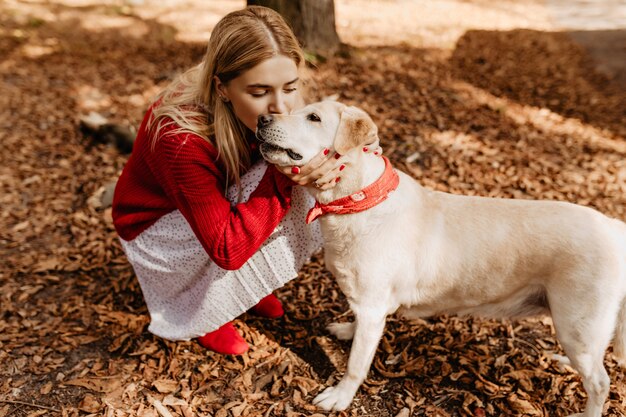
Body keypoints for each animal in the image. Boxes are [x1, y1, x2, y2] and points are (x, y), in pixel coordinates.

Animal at [255, 101, 624, 416]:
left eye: (313, 118)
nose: (261, 119)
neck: (359, 200)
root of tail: (613, 227)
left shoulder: (373, 308)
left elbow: (356, 365)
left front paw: (340, 397)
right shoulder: (368, 306)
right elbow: (356, 326)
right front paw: (347, 329)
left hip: (576, 323)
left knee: (600, 383)